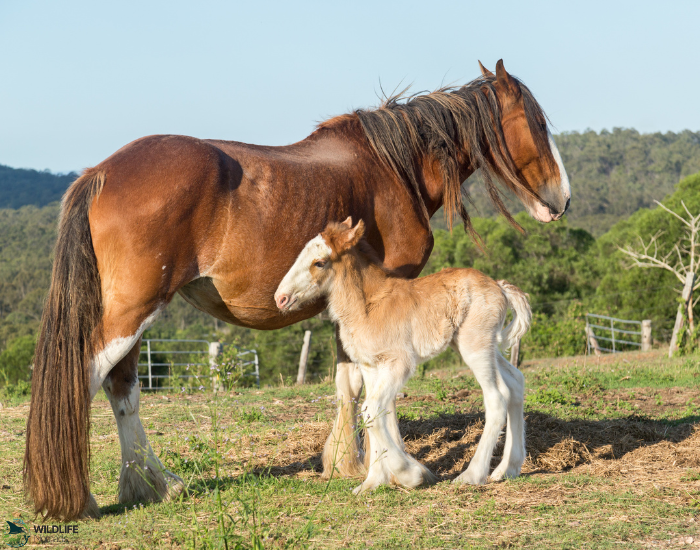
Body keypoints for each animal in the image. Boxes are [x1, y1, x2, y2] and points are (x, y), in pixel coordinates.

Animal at [275, 218, 531, 492]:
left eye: (320, 262)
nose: (281, 298)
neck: (368, 306)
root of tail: (500, 287)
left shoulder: (399, 363)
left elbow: (371, 410)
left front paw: (412, 474)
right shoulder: (371, 367)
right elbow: (380, 414)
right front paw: (373, 481)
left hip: (475, 346)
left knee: (497, 398)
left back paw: (472, 475)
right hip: (482, 346)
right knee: (515, 382)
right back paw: (507, 469)